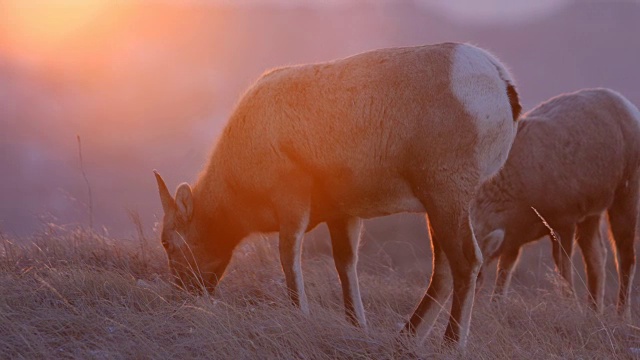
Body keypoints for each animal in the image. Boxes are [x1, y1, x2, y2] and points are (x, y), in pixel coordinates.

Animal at [155, 43, 520, 348]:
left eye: (169, 243)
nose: (181, 295)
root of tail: (497, 79)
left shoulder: (292, 202)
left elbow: (289, 258)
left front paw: (300, 314)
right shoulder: (344, 215)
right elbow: (345, 265)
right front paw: (356, 325)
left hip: (446, 199)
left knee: (465, 262)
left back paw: (450, 344)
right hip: (438, 208)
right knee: (443, 271)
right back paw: (406, 338)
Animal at [470, 88, 640, 320]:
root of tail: (631, 109)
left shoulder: (563, 221)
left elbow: (563, 267)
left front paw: (571, 306)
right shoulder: (514, 237)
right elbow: (505, 270)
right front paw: (496, 305)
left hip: (627, 192)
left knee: (625, 255)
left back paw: (621, 315)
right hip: (591, 213)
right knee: (597, 256)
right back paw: (593, 311)